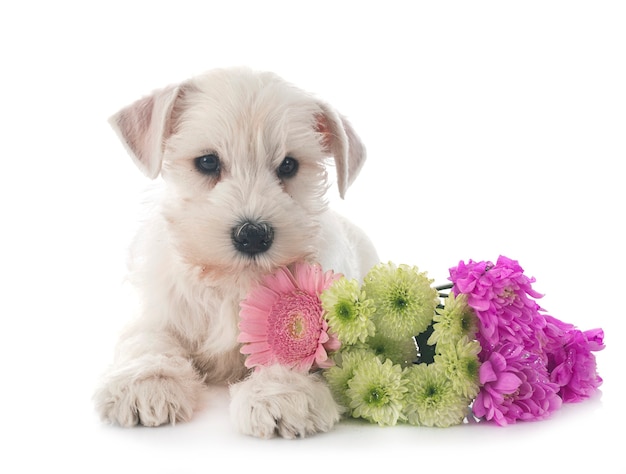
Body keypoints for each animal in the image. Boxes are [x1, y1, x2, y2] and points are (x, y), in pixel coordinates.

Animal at [92, 65, 376, 436]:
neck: (231, 284)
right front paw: (147, 382)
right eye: (207, 162)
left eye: (289, 166)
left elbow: (293, 343)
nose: (252, 235)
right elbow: (147, 340)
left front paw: (280, 393)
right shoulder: (155, 310)